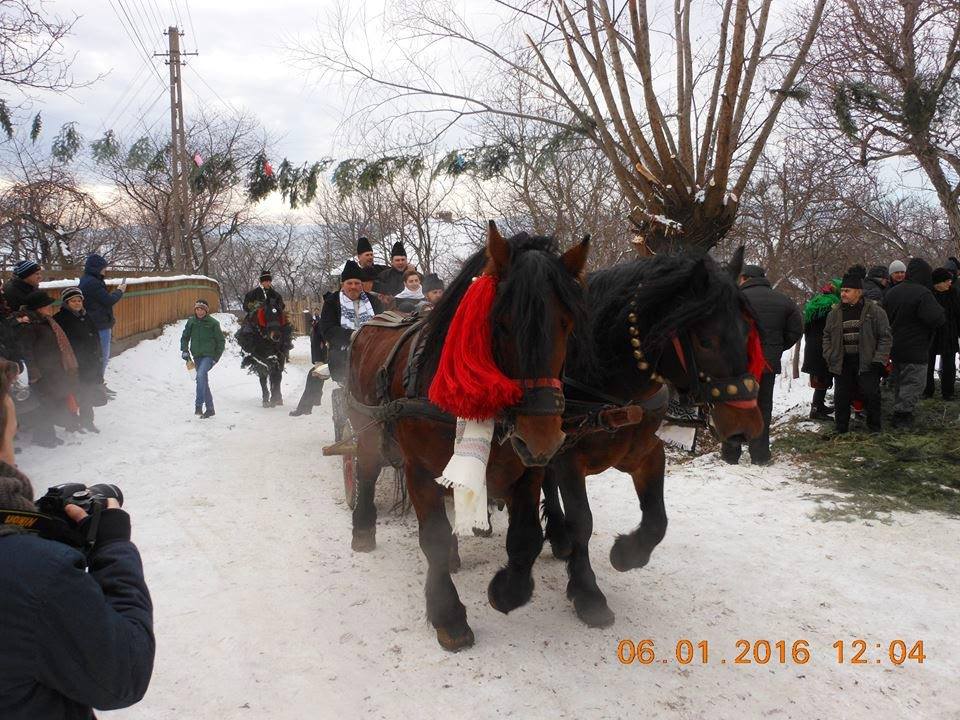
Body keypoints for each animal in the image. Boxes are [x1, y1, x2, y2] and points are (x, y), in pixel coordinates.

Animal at [344, 222, 584, 648]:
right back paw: (363, 529)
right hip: (366, 429)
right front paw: (448, 616)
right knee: (367, 471)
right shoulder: (419, 469)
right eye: (500, 322)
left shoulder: (527, 470)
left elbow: (526, 536)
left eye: (567, 322)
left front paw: (506, 591)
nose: (542, 439)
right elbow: (434, 538)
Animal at [540, 250, 756, 628]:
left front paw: (626, 553)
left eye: (746, 333)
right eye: (705, 340)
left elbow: (657, 520)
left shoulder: (648, 454)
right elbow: (582, 521)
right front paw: (587, 593)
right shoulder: (569, 458)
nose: (745, 425)